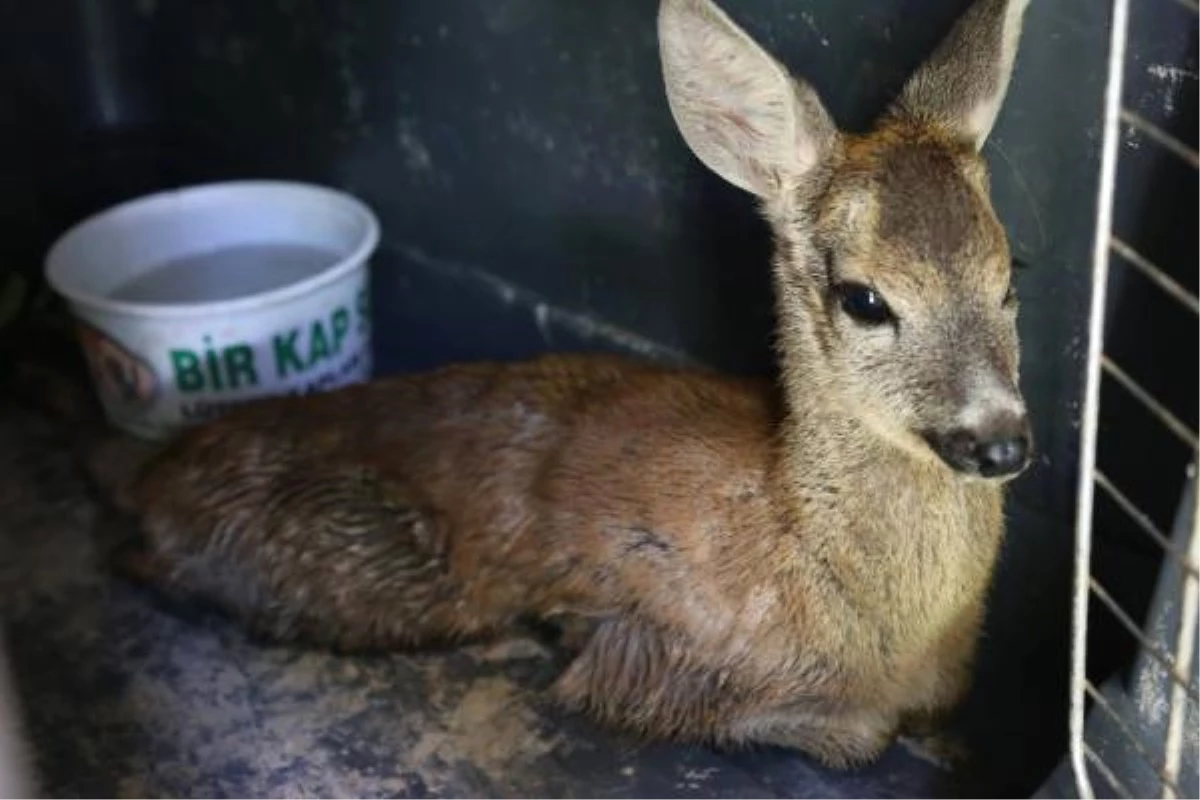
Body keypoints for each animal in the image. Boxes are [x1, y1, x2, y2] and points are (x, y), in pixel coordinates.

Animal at [63, 0, 1032, 767]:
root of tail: (155, 465)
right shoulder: (651, 661)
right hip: (371, 563)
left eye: (1011, 277)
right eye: (865, 299)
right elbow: (849, 736)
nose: (1000, 440)